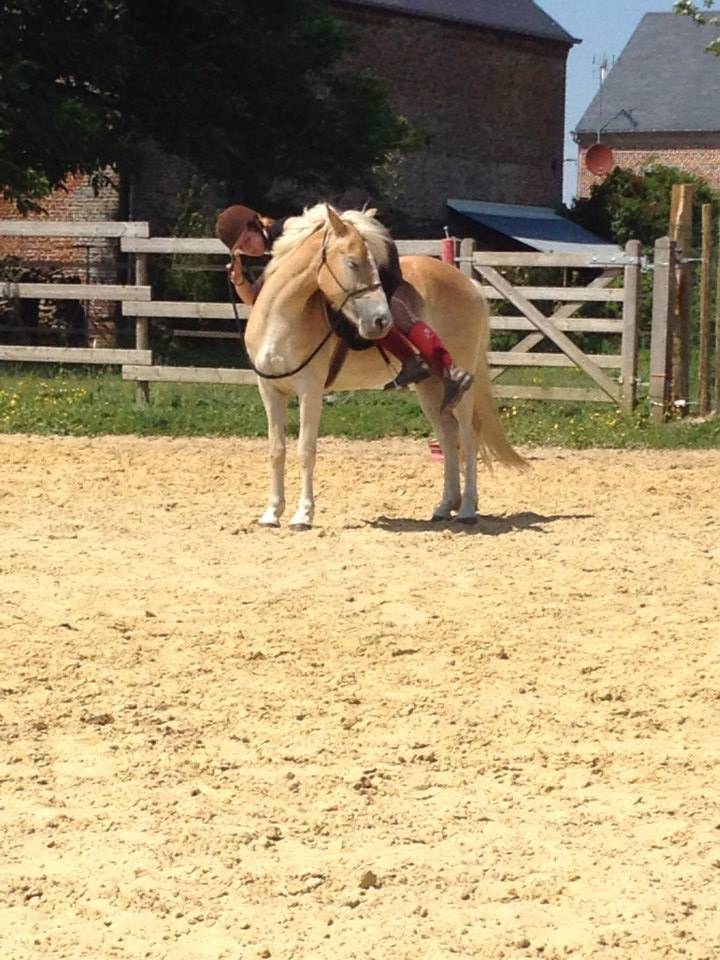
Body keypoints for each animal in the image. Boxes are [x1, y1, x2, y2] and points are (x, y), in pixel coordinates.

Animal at [243, 204, 526, 530]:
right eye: (352, 263)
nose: (381, 320)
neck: (281, 319)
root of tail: (471, 285)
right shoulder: (270, 390)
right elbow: (276, 450)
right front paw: (272, 513)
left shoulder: (309, 391)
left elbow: (306, 450)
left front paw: (303, 514)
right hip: (430, 389)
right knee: (448, 437)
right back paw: (446, 506)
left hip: (461, 387)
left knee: (468, 436)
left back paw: (467, 508)